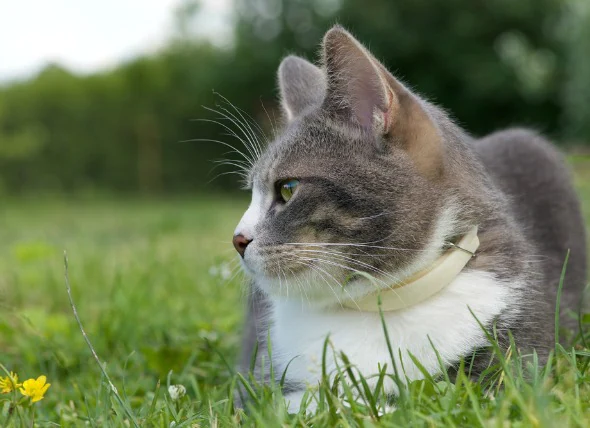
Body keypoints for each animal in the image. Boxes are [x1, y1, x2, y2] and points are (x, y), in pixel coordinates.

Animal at [230, 25, 588, 412]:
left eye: (287, 188)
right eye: (251, 191)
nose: (237, 239)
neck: (379, 302)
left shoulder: (517, 366)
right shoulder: (256, 383)